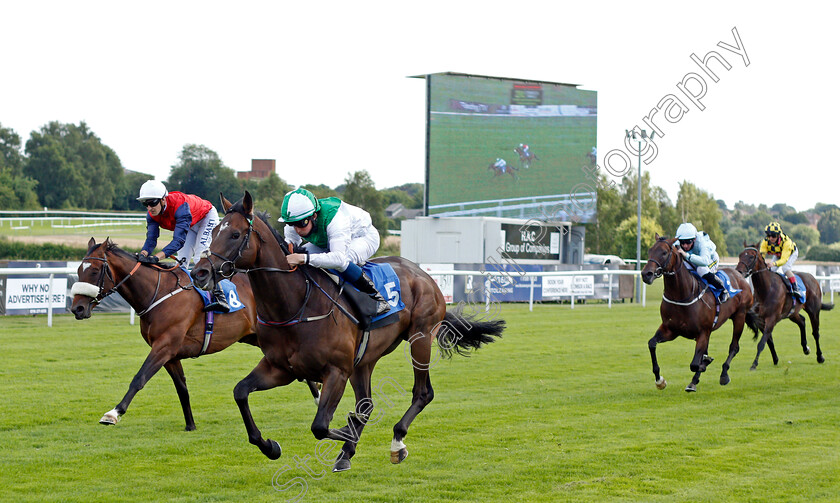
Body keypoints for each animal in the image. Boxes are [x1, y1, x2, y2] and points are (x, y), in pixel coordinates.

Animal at [67, 238, 318, 432]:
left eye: (95, 270)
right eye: (78, 270)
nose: (77, 308)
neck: (157, 292)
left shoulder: (164, 346)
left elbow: (139, 378)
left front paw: (114, 413)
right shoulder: (170, 354)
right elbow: (182, 388)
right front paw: (190, 424)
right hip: (256, 337)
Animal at [190, 192, 506, 472]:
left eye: (235, 234)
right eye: (213, 230)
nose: (200, 272)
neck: (295, 305)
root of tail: (424, 274)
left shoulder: (336, 371)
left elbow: (321, 426)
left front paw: (345, 430)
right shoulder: (280, 368)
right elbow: (240, 392)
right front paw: (270, 446)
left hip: (421, 337)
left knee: (422, 393)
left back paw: (396, 442)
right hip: (364, 360)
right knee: (366, 405)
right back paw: (346, 453)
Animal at [640, 236, 756, 394]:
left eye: (664, 252)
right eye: (650, 250)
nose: (646, 274)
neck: (682, 295)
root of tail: (740, 276)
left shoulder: (702, 332)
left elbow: (695, 363)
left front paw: (705, 364)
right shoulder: (671, 330)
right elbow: (652, 344)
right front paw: (660, 381)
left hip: (739, 316)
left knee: (734, 347)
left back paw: (723, 375)